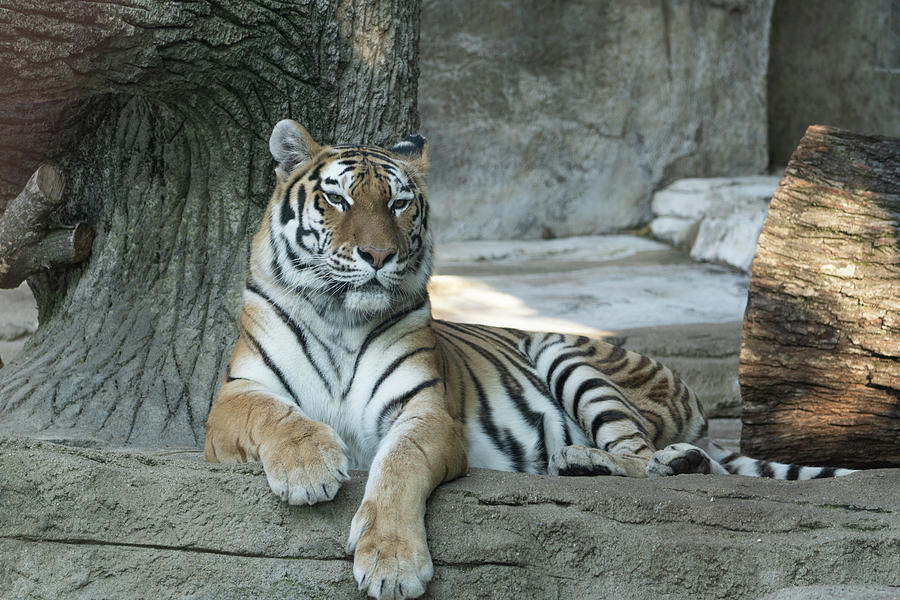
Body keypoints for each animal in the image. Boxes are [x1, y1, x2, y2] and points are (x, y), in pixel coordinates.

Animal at [204, 119, 856, 600]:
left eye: (398, 204)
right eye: (336, 198)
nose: (379, 256)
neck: (342, 317)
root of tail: (694, 404)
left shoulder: (425, 413)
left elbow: (397, 468)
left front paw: (392, 565)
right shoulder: (232, 398)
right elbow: (276, 415)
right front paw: (309, 468)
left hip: (566, 354)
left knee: (651, 458)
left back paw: (630, 461)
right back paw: (586, 463)